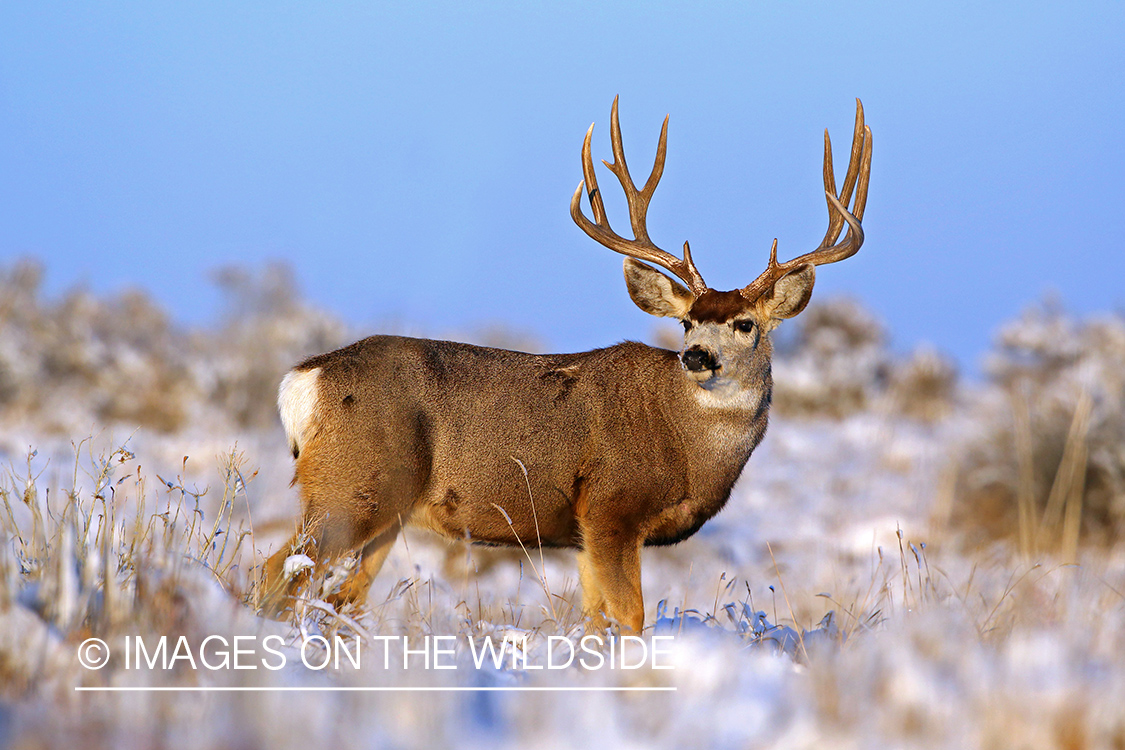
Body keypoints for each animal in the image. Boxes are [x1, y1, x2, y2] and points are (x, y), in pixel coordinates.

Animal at [260, 97, 871, 633]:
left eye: (745, 324)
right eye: (687, 322)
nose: (696, 356)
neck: (684, 442)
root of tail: (303, 380)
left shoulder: (581, 535)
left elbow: (594, 619)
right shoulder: (609, 508)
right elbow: (630, 618)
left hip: (385, 510)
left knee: (342, 595)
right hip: (352, 486)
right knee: (276, 571)